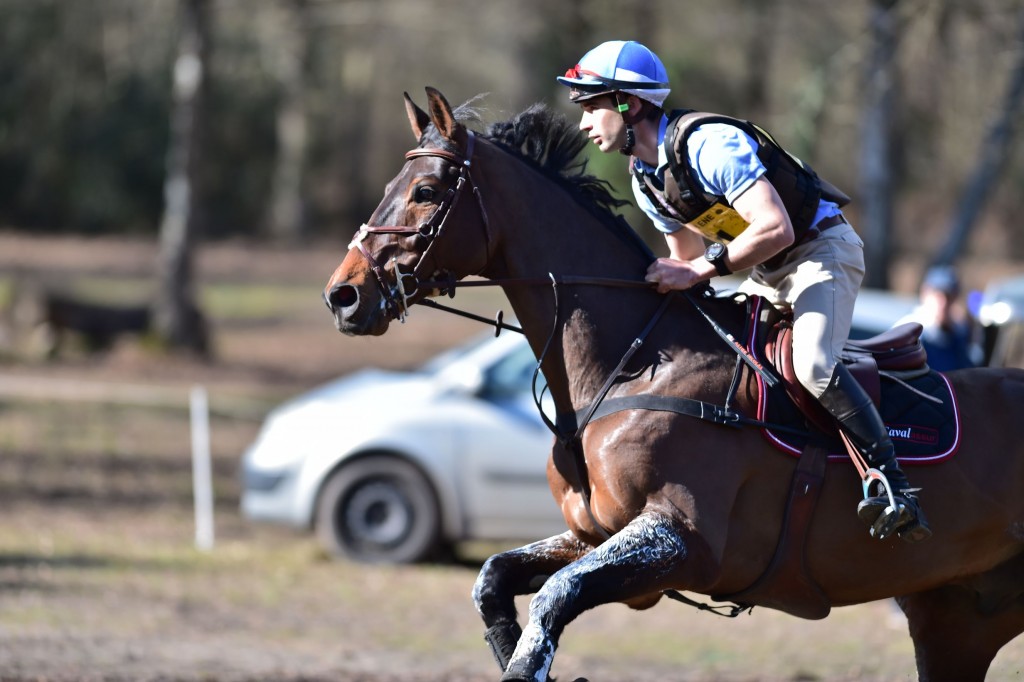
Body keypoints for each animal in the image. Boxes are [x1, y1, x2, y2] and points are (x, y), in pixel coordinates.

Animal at [323, 87, 1024, 675]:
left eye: (426, 190)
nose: (343, 297)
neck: (635, 362)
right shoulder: (593, 535)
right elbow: (493, 579)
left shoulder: (682, 540)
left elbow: (553, 599)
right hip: (954, 619)